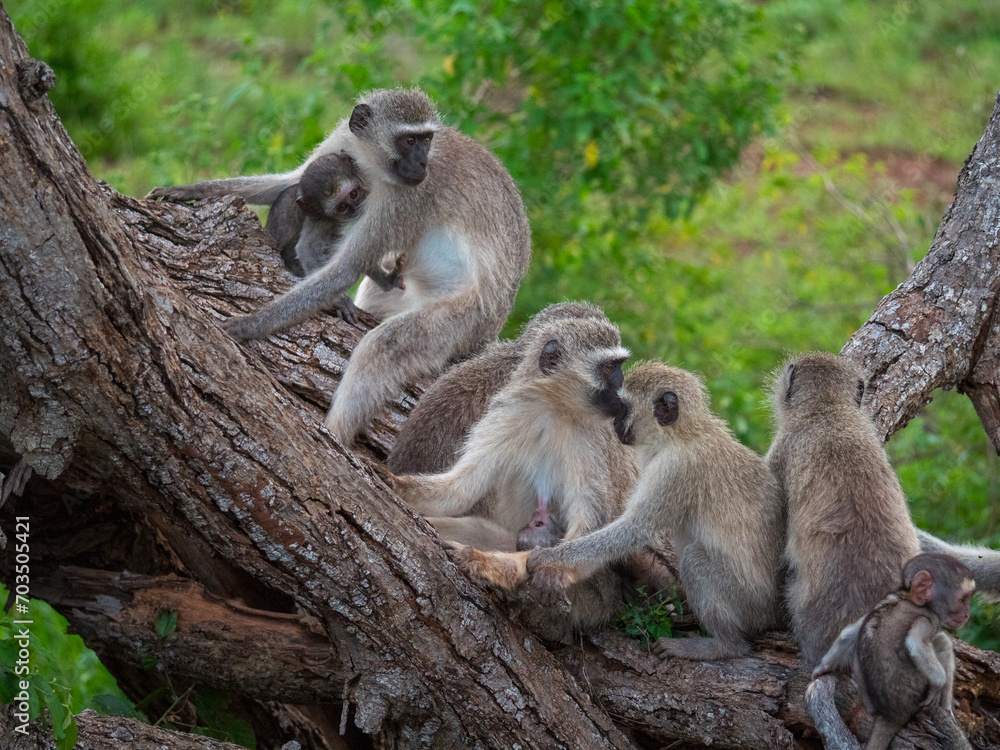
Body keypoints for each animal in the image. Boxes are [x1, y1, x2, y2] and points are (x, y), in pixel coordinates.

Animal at [150, 88, 531, 446]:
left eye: (426, 141)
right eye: (410, 141)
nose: (422, 165)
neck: (371, 161)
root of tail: (491, 329)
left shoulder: (407, 197)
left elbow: (346, 268)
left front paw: (247, 325)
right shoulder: (342, 143)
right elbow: (290, 180)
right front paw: (190, 190)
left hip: (467, 318)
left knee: (384, 346)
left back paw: (334, 435)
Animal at [515, 361, 785, 661]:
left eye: (623, 406)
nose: (613, 423)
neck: (679, 436)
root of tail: (774, 612)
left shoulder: (673, 470)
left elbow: (633, 530)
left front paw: (546, 558)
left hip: (749, 604)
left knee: (695, 560)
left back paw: (724, 645)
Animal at [811, 553, 975, 750]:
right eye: (963, 599)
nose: (967, 615)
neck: (907, 595)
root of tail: (893, 715)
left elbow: (849, 633)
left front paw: (821, 668)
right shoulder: (929, 618)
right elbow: (915, 643)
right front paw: (938, 686)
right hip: (915, 696)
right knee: (942, 642)